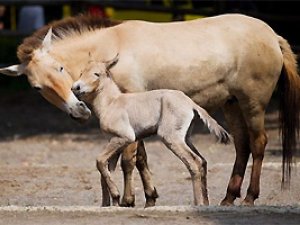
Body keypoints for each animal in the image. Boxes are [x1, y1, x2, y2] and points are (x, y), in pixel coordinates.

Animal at [0, 13, 300, 207]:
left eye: (60, 67)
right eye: (37, 87)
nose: (79, 111)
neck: (113, 48)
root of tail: (272, 35)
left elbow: (128, 159)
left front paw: (128, 200)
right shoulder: (136, 118)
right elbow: (141, 157)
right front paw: (149, 198)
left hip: (252, 104)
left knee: (258, 144)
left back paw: (249, 197)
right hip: (232, 105)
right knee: (242, 146)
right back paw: (227, 198)